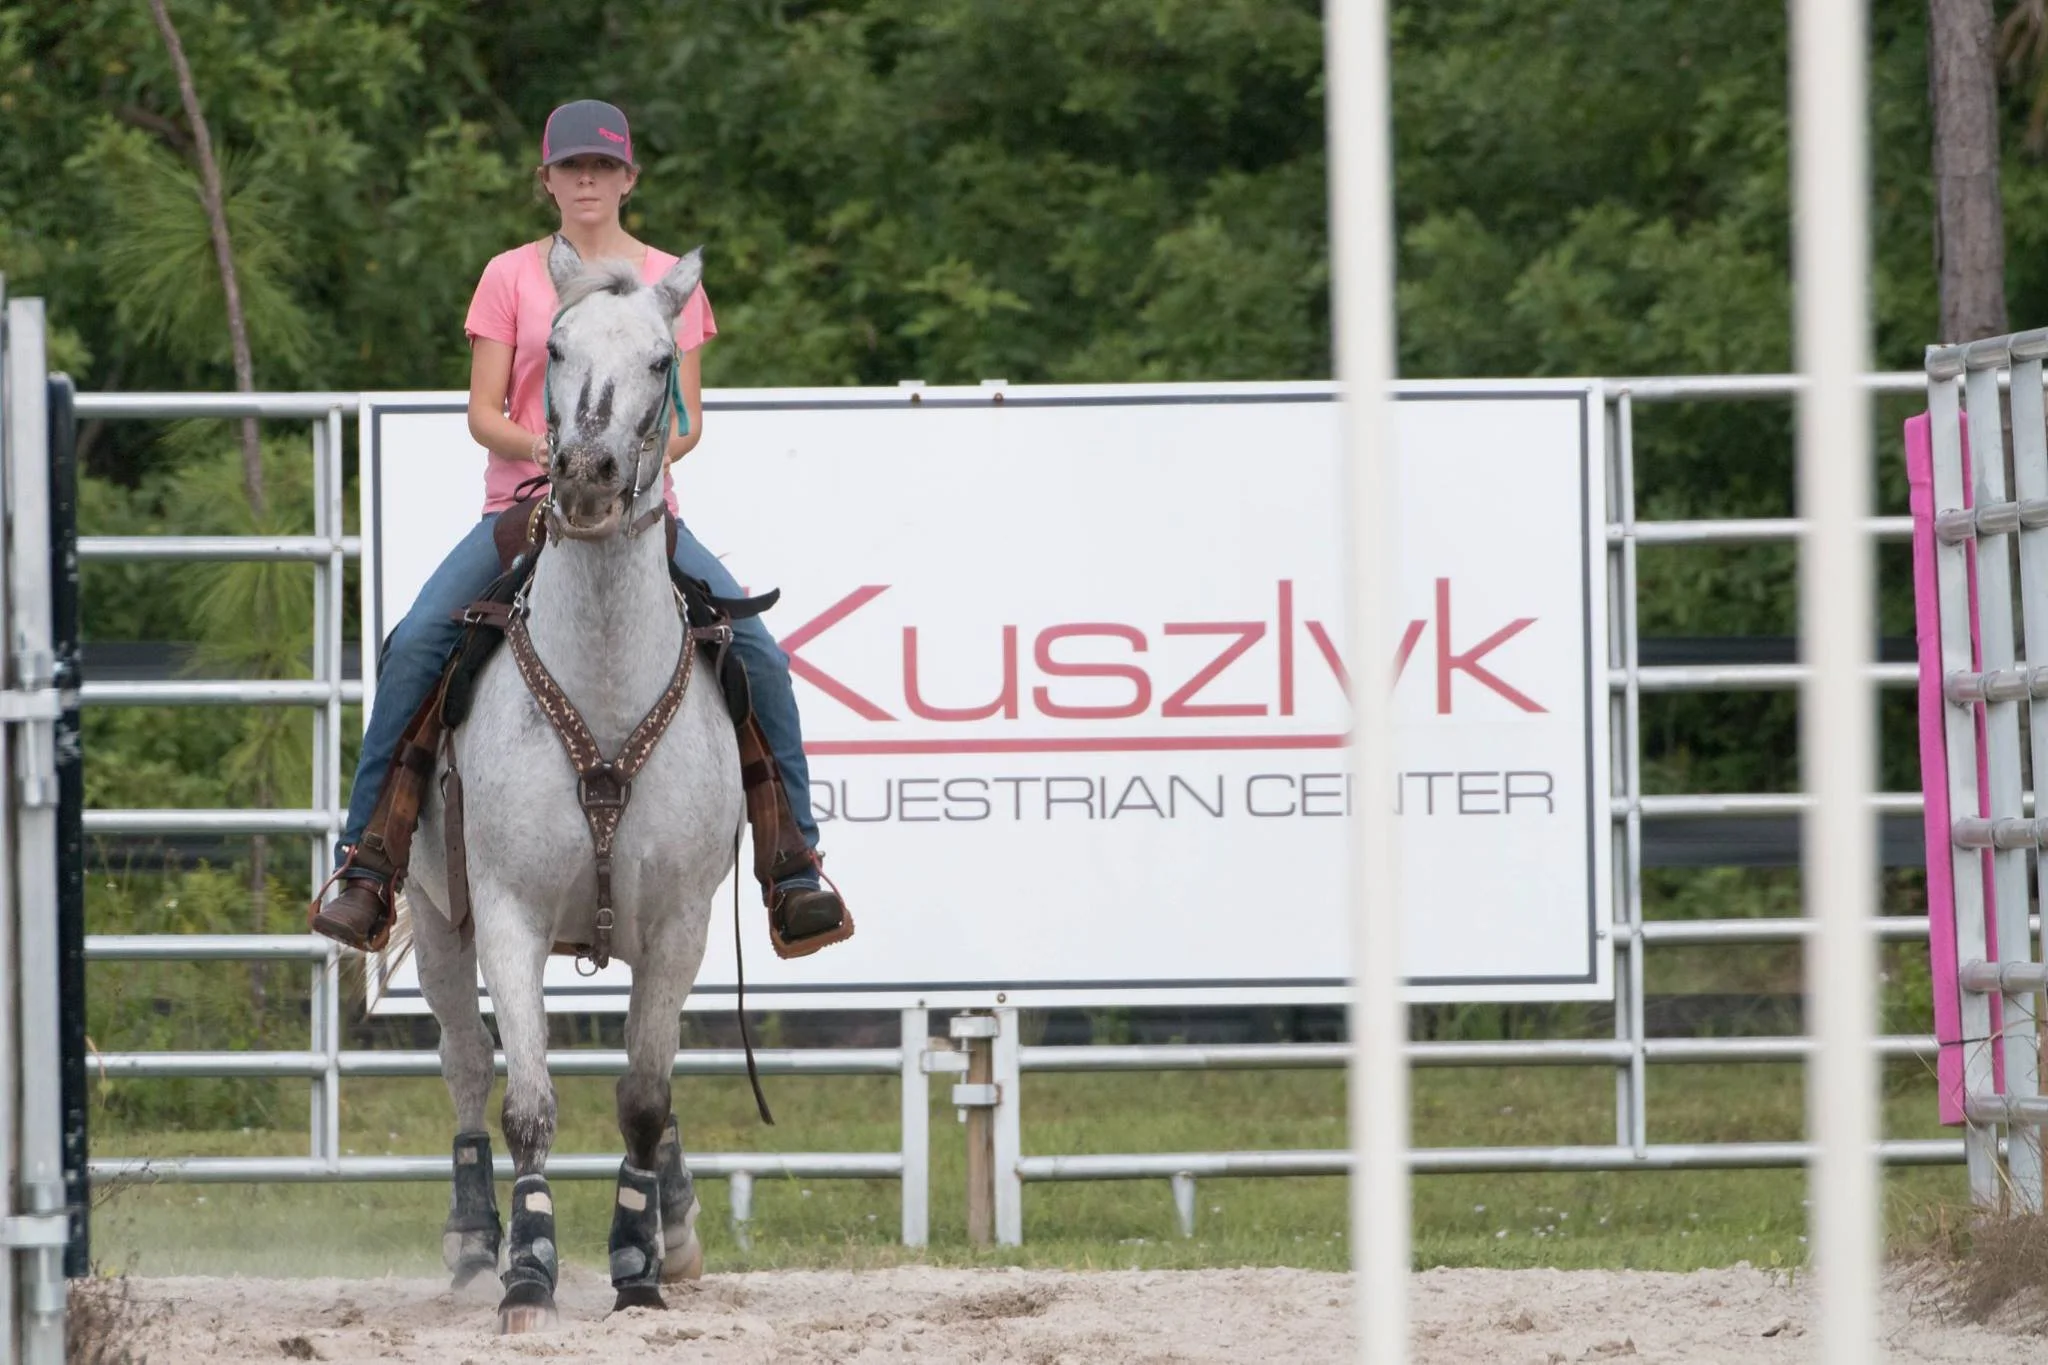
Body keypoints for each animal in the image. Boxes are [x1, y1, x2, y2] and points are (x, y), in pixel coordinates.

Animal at [396, 235, 742, 1333]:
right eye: (551, 348)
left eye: (662, 361)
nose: (585, 475)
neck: (601, 691)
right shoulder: (504, 910)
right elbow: (528, 1104)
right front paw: (528, 1273)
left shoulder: (678, 921)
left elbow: (644, 1097)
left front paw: (639, 1262)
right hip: (433, 913)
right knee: (466, 1064)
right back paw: (474, 1241)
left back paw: (676, 1223)